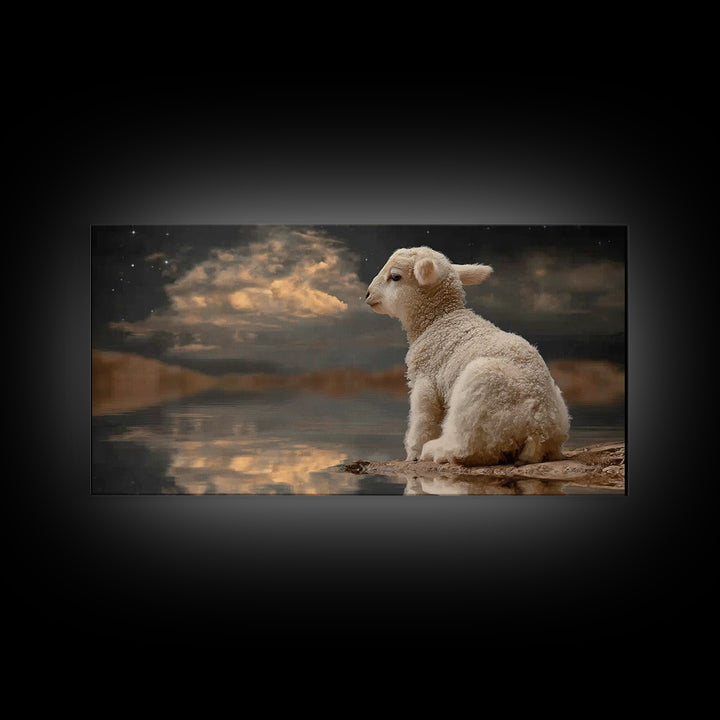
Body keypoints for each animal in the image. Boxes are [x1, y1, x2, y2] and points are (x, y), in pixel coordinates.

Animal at [365, 246, 570, 466]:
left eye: (395, 277)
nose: (367, 294)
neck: (439, 319)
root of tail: (539, 429)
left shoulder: (426, 379)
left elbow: (422, 420)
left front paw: (413, 454)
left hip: (479, 395)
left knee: (467, 447)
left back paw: (435, 450)